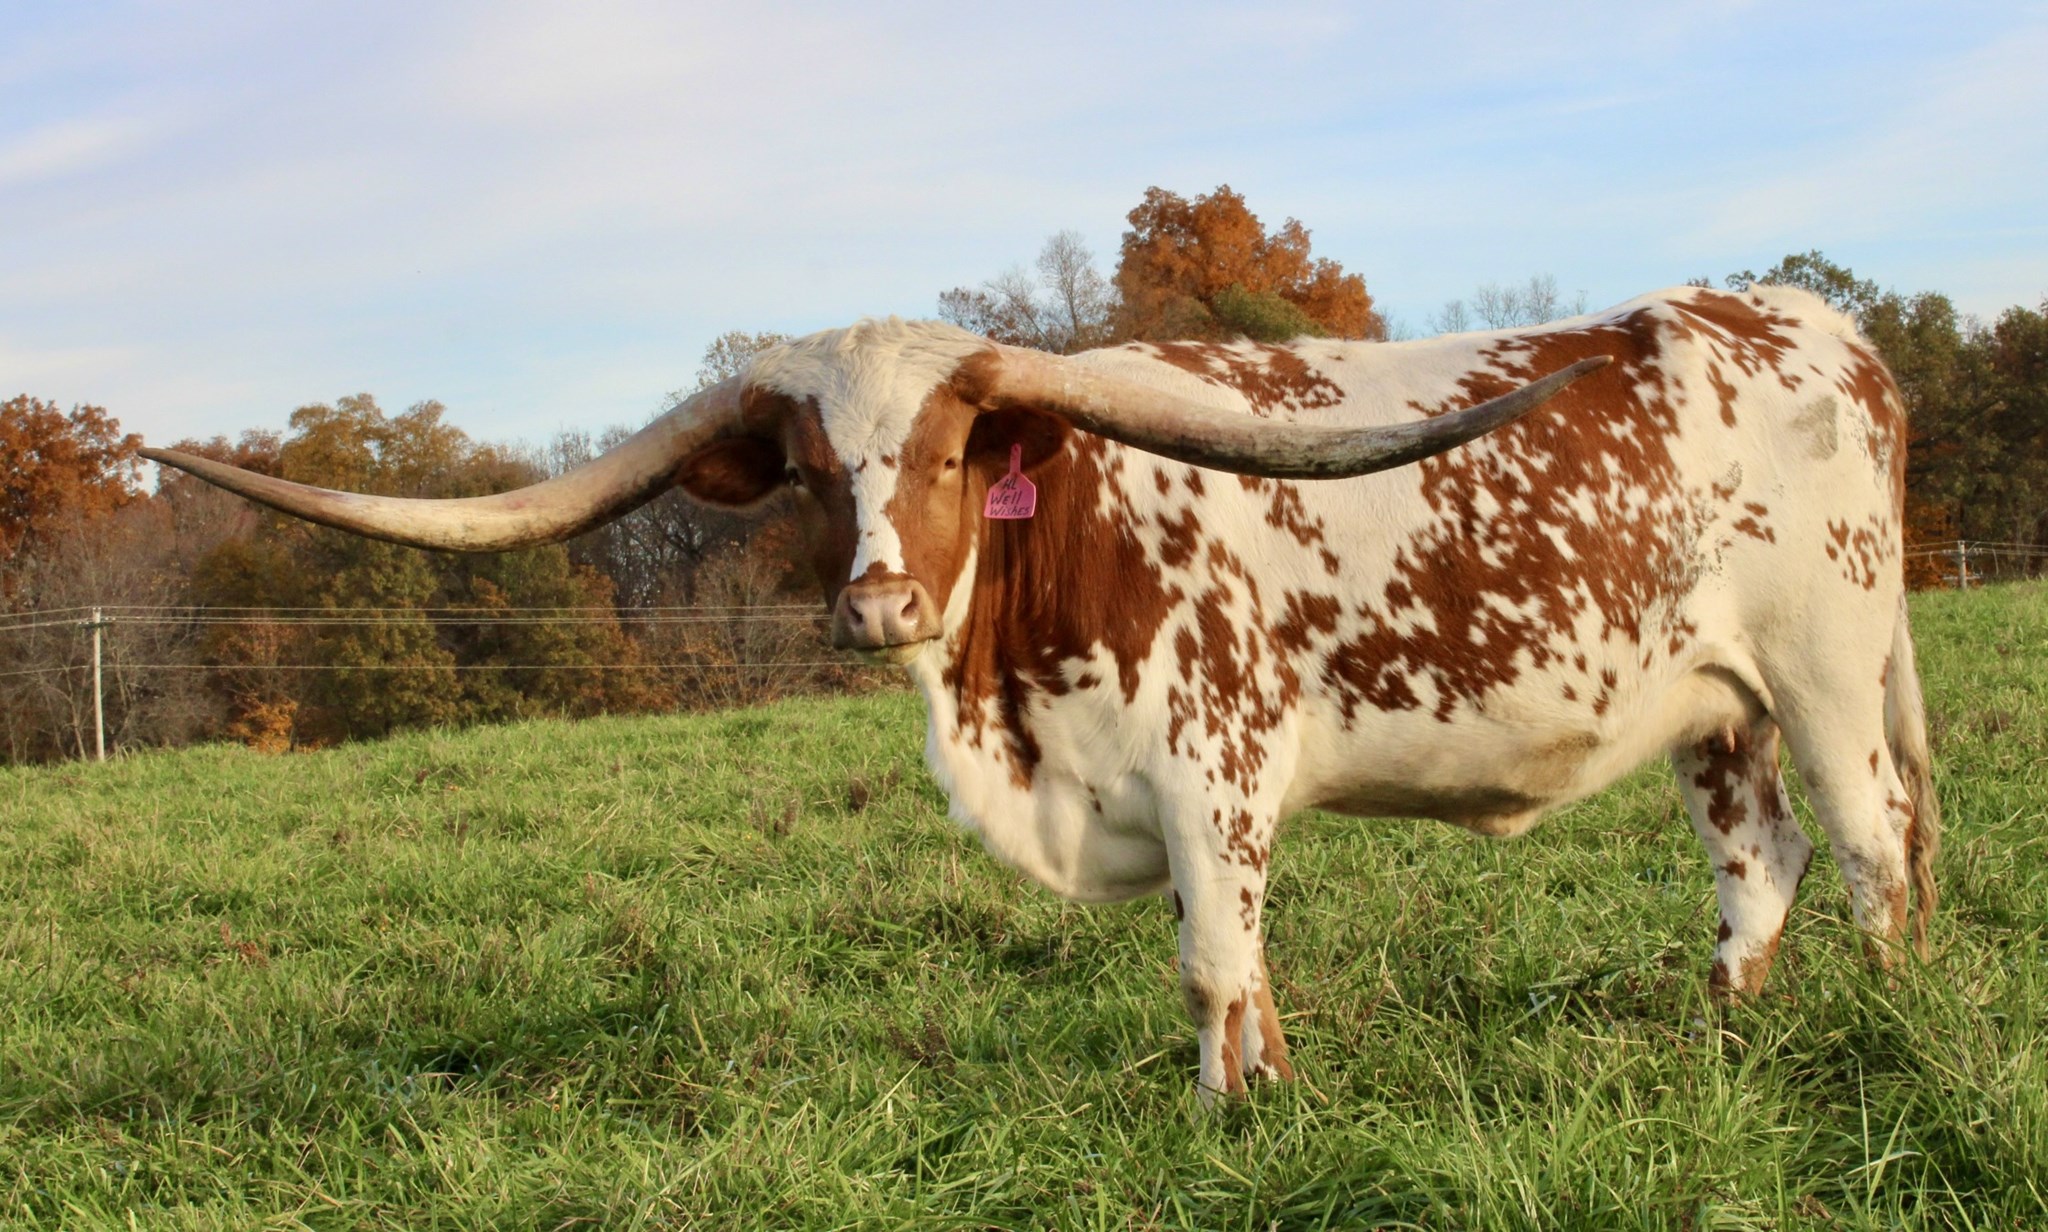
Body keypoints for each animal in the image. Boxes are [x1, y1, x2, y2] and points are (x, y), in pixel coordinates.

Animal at [143, 284, 1938, 1101]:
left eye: (952, 453)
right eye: (812, 472)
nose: (873, 601)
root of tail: (1807, 319)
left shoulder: (1217, 770)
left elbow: (1215, 958)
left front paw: (1232, 1114)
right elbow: (1228, 967)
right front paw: (1261, 1084)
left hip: (1828, 666)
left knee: (1875, 845)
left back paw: (1889, 1020)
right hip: (1717, 707)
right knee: (1761, 853)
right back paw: (1722, 1015)